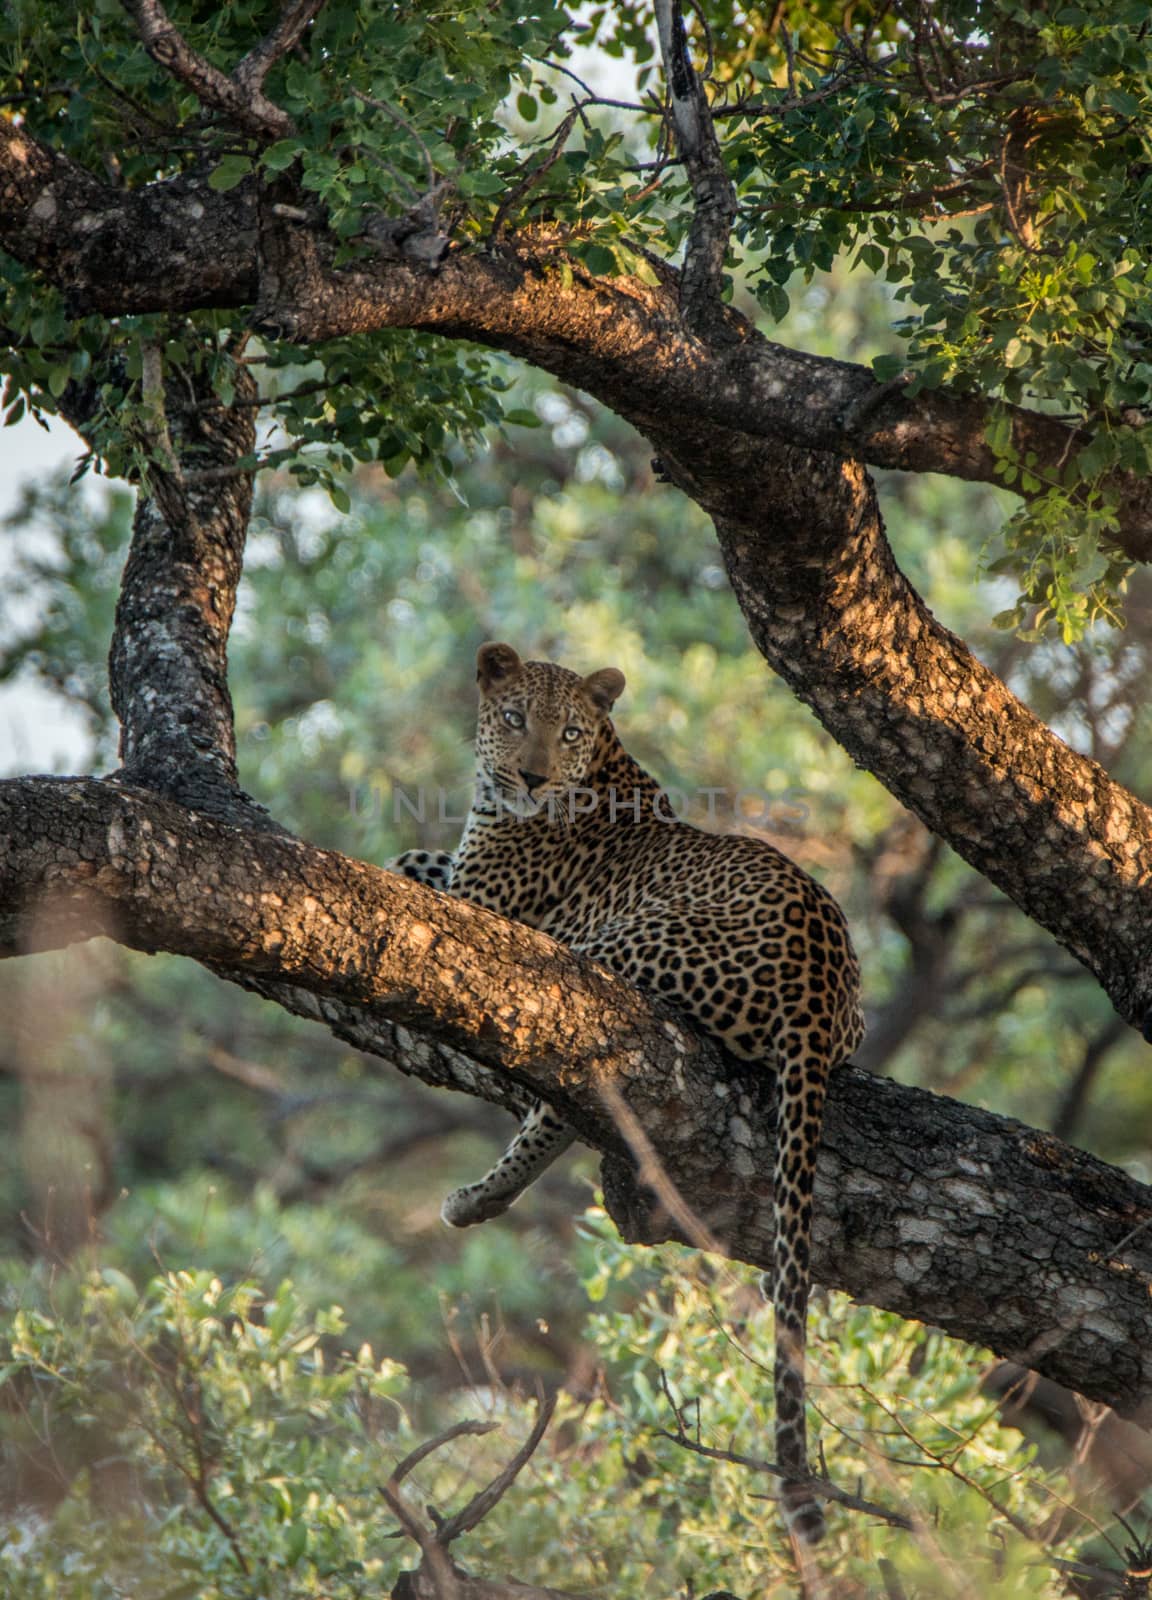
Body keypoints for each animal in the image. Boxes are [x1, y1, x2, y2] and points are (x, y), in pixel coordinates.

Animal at [388, 643, 864, 1542]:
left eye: (567, 730)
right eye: (515, 718)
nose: (534, 777)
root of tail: (819, 995)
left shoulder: (480, 906)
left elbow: (404, 866)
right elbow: (406, 860)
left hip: (604, 952)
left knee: (571, 1088)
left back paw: (480, 1197)